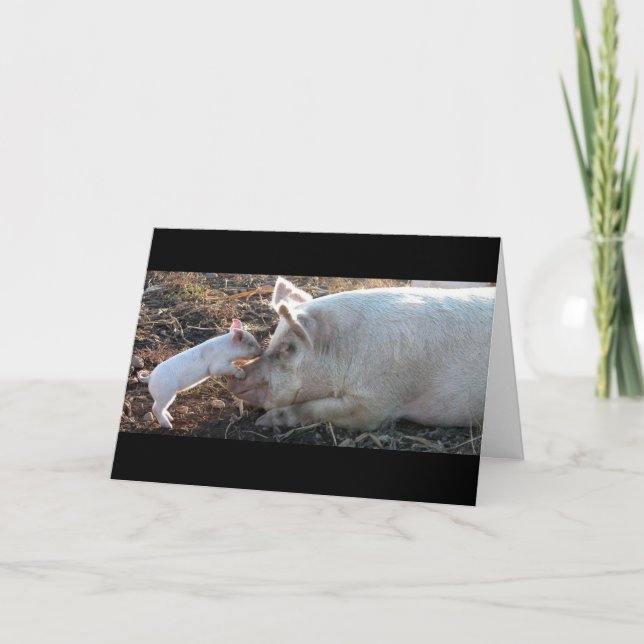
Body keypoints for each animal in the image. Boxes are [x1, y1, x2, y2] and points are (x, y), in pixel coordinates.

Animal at [227, 277, 495, 431]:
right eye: (272, 342)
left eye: (287, 348)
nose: (235, 377)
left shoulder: (377, 403)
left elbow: (313, 409)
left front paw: (264, 422)